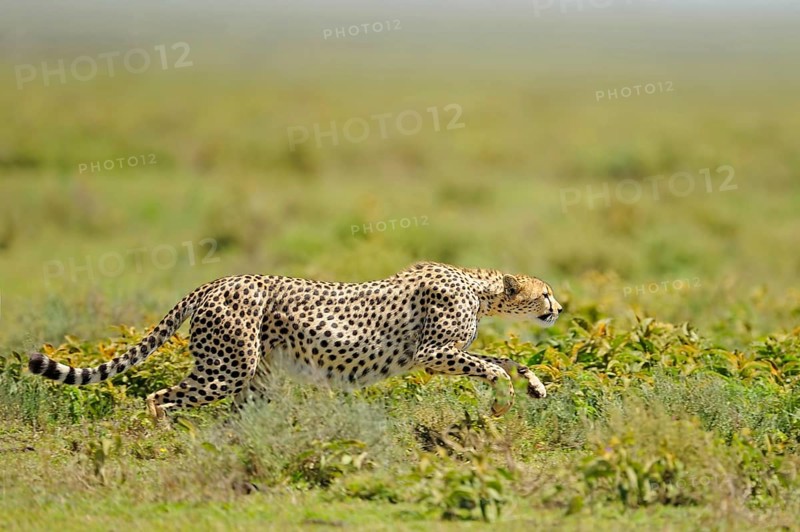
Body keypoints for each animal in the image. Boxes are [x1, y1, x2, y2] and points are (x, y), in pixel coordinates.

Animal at [27, 261, 563, 418]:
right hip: (227, 367)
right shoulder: (431, 354)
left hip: (254, 375)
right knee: (160, 396)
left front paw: (534, 387)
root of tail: (215, 281)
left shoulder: (445, 352)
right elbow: (489, 364)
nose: (559, 309)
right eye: (546, 292)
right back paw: (163, 442)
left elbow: (505, 357)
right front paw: (502, 397)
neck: (479, 288)